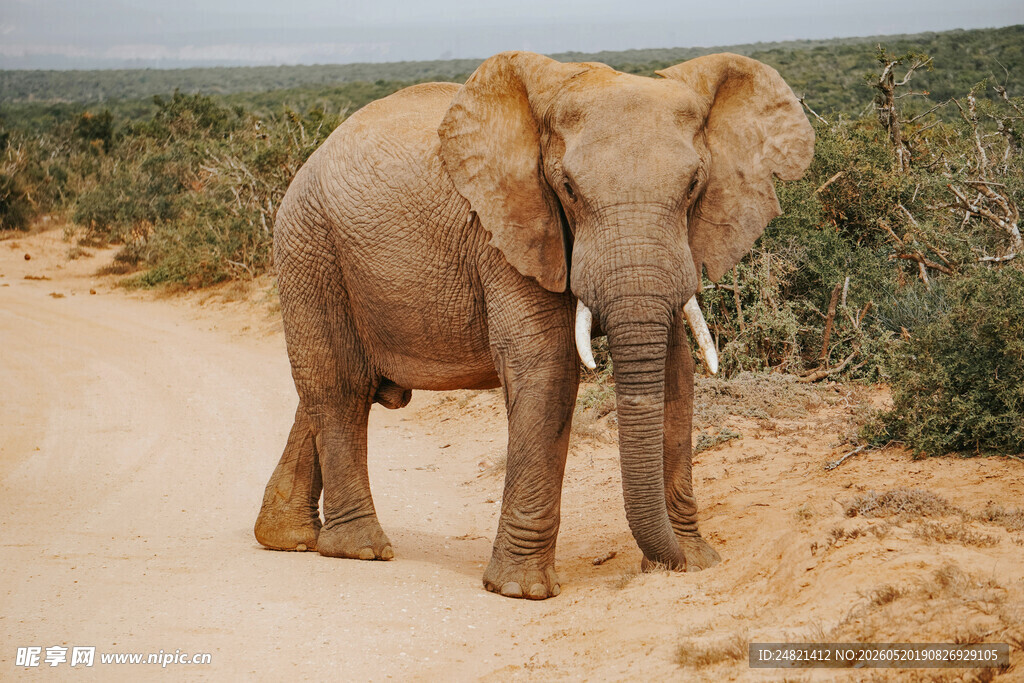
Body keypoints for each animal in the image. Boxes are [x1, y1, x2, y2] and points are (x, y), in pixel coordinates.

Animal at [254, 50, 814, 599]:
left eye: (695, 185)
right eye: (567, 188)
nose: (667, 562)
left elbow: (676, 370)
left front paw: (695, 562)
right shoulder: (508, 228)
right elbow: (547, 365)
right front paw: (520, 590)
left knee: (337, 390)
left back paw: (286, 538)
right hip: (309, 244)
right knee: (339, 387)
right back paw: (360, 549)